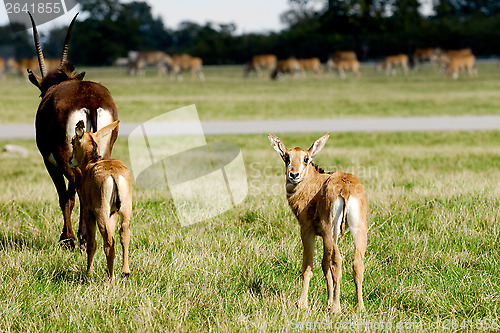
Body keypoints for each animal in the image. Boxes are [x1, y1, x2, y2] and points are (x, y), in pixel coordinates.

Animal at [29, 14, 118, 249]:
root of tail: (91, 102)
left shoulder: (50, 160)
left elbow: (65, 196)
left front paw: (67, 238)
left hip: (63, 157)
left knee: (77, 188)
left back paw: (79, 237)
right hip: (103, 153)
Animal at [71, 120, 133, 280]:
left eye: (73, 141)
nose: (70, 161)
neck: (92, 162)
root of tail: (114, 174)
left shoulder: (89, 212)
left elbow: (91, 243)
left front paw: (89, 272)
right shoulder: (113, 213)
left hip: (101, 211)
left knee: (108, 241)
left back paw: (110, 277)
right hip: (124, 209)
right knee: (124, 233)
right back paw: (125, 272)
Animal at [268, 132, 370, 312]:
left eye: (306, 158)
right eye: (287, 157)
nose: (294, 175)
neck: (314, 182)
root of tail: (346, 188)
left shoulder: (307, 230)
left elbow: (308, 266)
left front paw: (302, 303)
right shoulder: (323, 236)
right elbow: (324, 265)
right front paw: (327, 301)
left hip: (331, 230)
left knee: (337, 261)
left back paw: (336, 308)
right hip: (357, 230)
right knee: (357, 263)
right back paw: (359, 307)